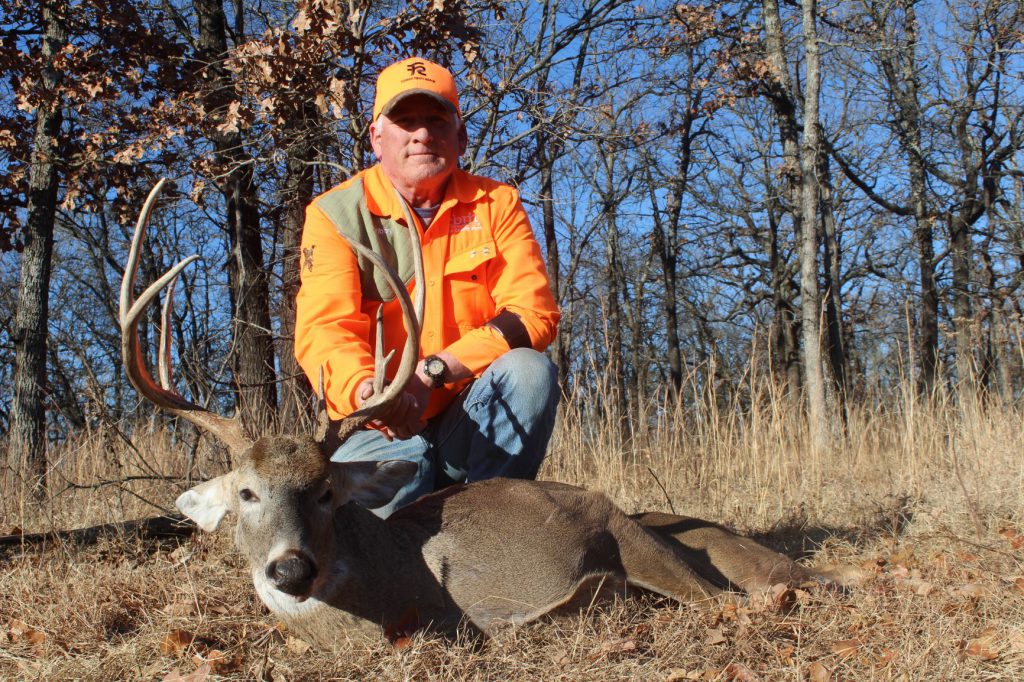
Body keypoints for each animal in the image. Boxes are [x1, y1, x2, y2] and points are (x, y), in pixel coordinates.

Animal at [121, 178, 856, 647]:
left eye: (326, 491)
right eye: (246, 492)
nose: (291, 568)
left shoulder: (579, 523)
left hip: (646, 536)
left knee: (738, 598)